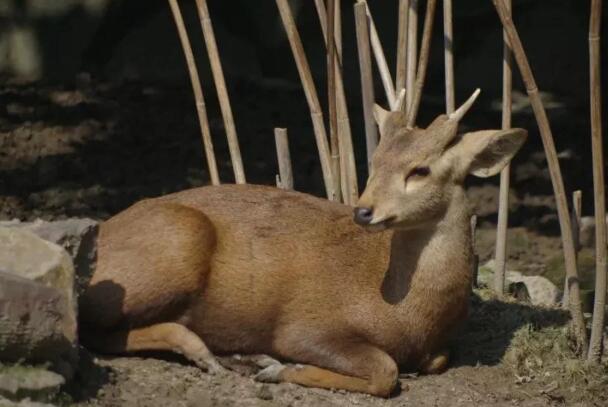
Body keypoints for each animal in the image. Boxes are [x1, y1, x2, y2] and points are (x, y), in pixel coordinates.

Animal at [79, 90, 528, 398]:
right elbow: (385, 370)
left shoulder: (436, 348)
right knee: (92, 328)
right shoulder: (304, 326)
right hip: (177, 244)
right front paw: (278, 369)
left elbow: (433, 360)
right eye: (374, 162)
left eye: (421, 170)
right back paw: (213, 353)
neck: (410, 314)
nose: (363, 211)